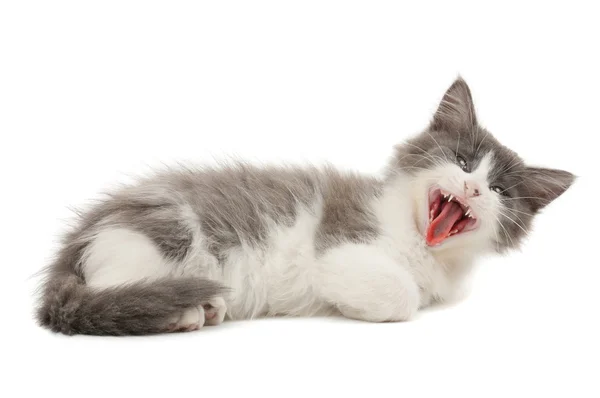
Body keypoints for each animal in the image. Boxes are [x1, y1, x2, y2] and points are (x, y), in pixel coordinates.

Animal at [35, 78, 576, 336]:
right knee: (115, 287)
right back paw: (186, 310)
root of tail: (80, 237)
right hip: (161, 238)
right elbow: (398, 294)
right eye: (463, 160)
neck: (423, 247)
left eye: (501, 190)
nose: (475, 188)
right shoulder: (340, 241)